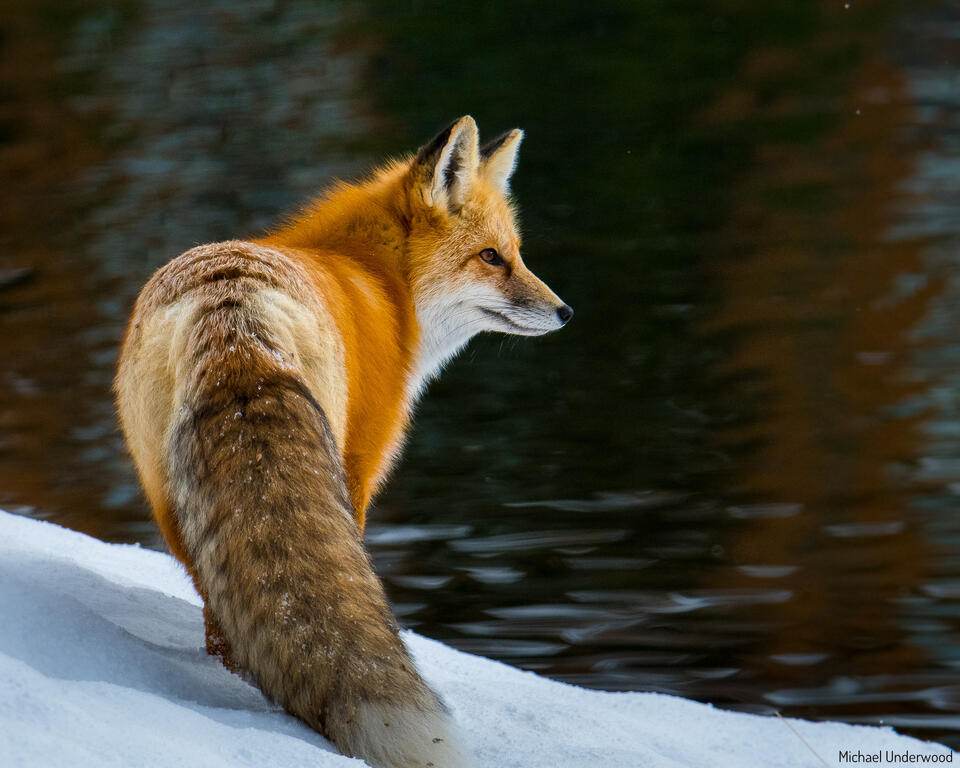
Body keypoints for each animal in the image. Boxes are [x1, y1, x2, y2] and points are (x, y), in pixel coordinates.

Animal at [114, 116, 572, 768]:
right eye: (492, 258)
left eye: (516, 254)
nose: (566, 311)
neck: (379, 284)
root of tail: (230, 308)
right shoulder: (360, 462)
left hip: (172, 506)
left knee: (223, 616)